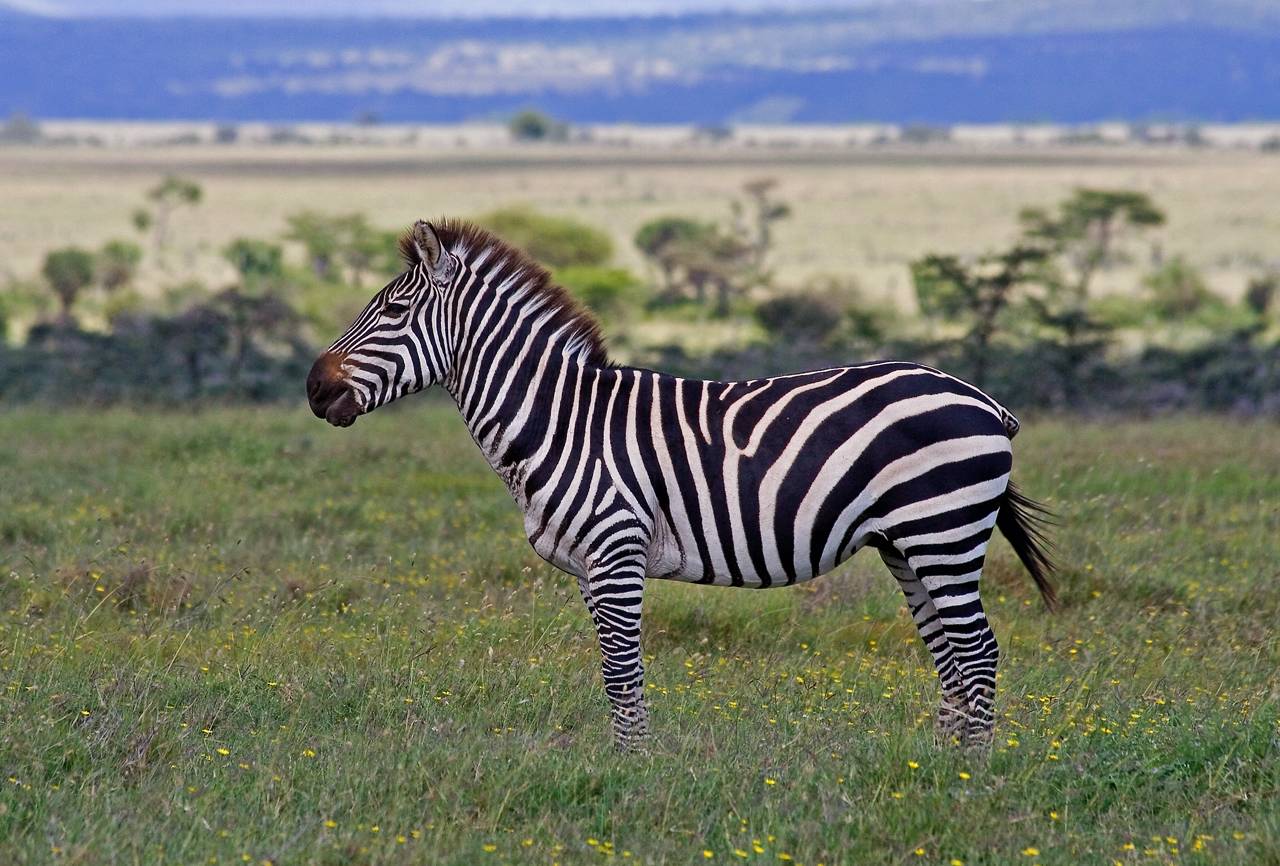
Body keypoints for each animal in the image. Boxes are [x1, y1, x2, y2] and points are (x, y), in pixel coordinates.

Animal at [304, 221, 1054, 752]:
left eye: (392, 310)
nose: (314, 389)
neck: (560, 419)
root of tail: (983, 400)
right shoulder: (591, 566)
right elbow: (615, 672)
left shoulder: (615, 552)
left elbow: (621, 672)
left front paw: (629, 771)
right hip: (905, 546)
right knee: (950, 655)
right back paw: (937, 768)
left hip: (943, 532)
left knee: (978, 653)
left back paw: (973, 778)